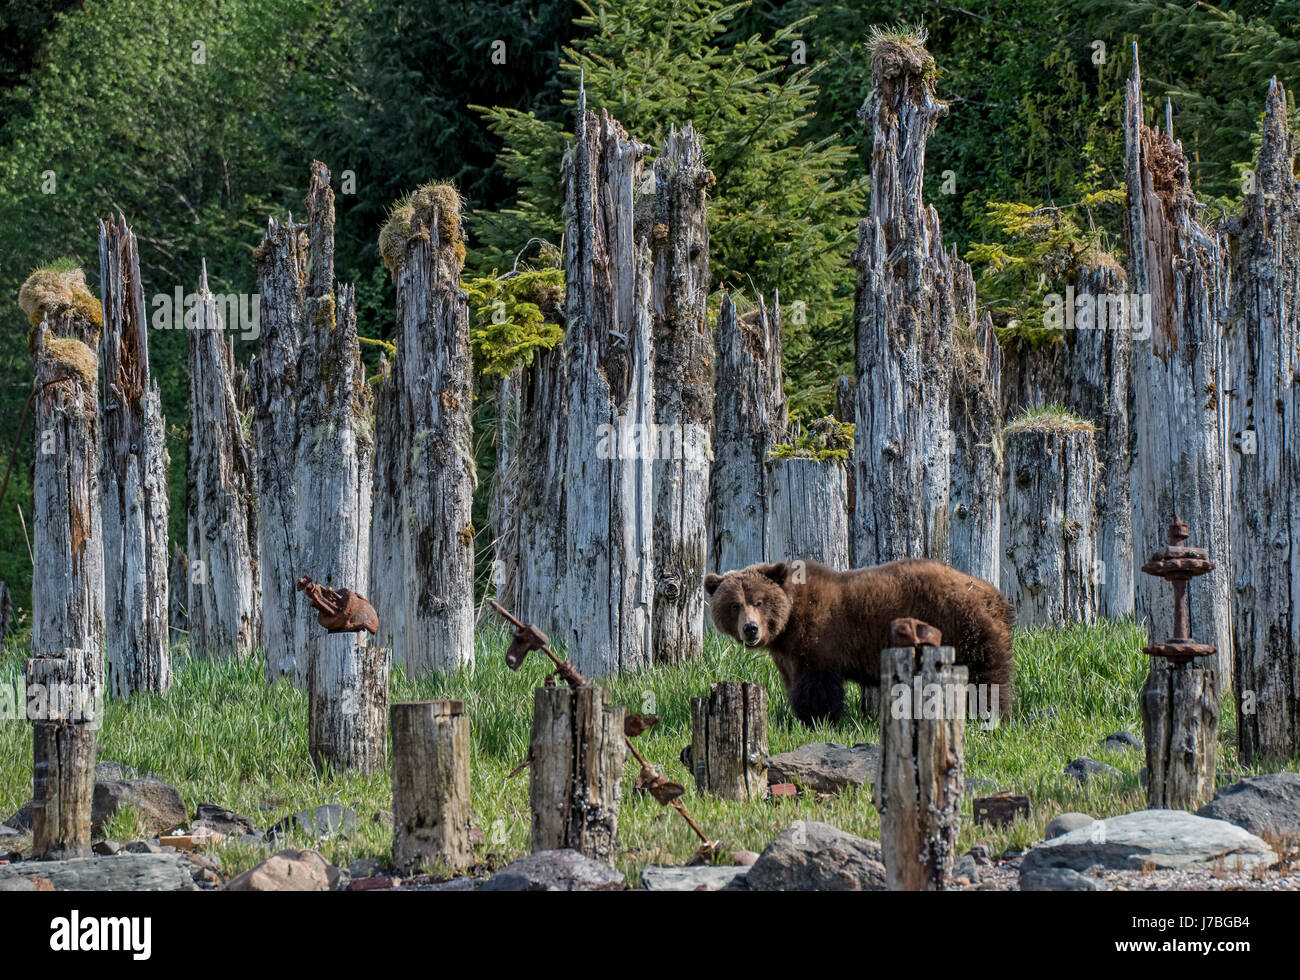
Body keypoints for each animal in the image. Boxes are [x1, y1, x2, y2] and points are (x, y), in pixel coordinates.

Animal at [702, 556, 1013, 727]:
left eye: (759, 601)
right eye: (734, 605)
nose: (751, 629)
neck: (788, 622)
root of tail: (995, 595)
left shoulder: (818, 638)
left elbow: (816, 686)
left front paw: (818, 719)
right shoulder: (787, 653)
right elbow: (794, 682)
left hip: (962, 626)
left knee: (984, 676)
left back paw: (985, 714)